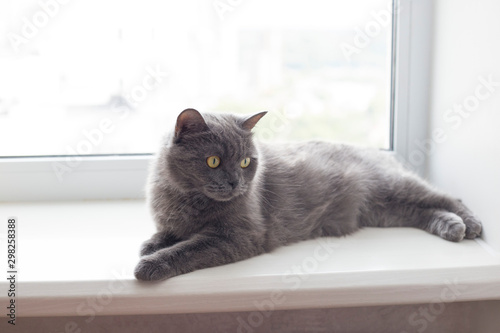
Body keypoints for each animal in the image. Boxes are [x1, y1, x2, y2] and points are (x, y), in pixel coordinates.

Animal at [135, 109, 482, 280]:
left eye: (246, 162)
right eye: (213, 161)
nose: (235, 183)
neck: (188, 200)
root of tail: (382, 152)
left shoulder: (239, 236)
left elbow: (189, 248)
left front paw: (150, 264)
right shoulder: (175, 220)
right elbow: (166, 235)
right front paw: (151, 245)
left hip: (393, 186)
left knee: (447, 198)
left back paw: (470, 225)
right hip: (385, 210)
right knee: (421, 211)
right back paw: (452, 227)